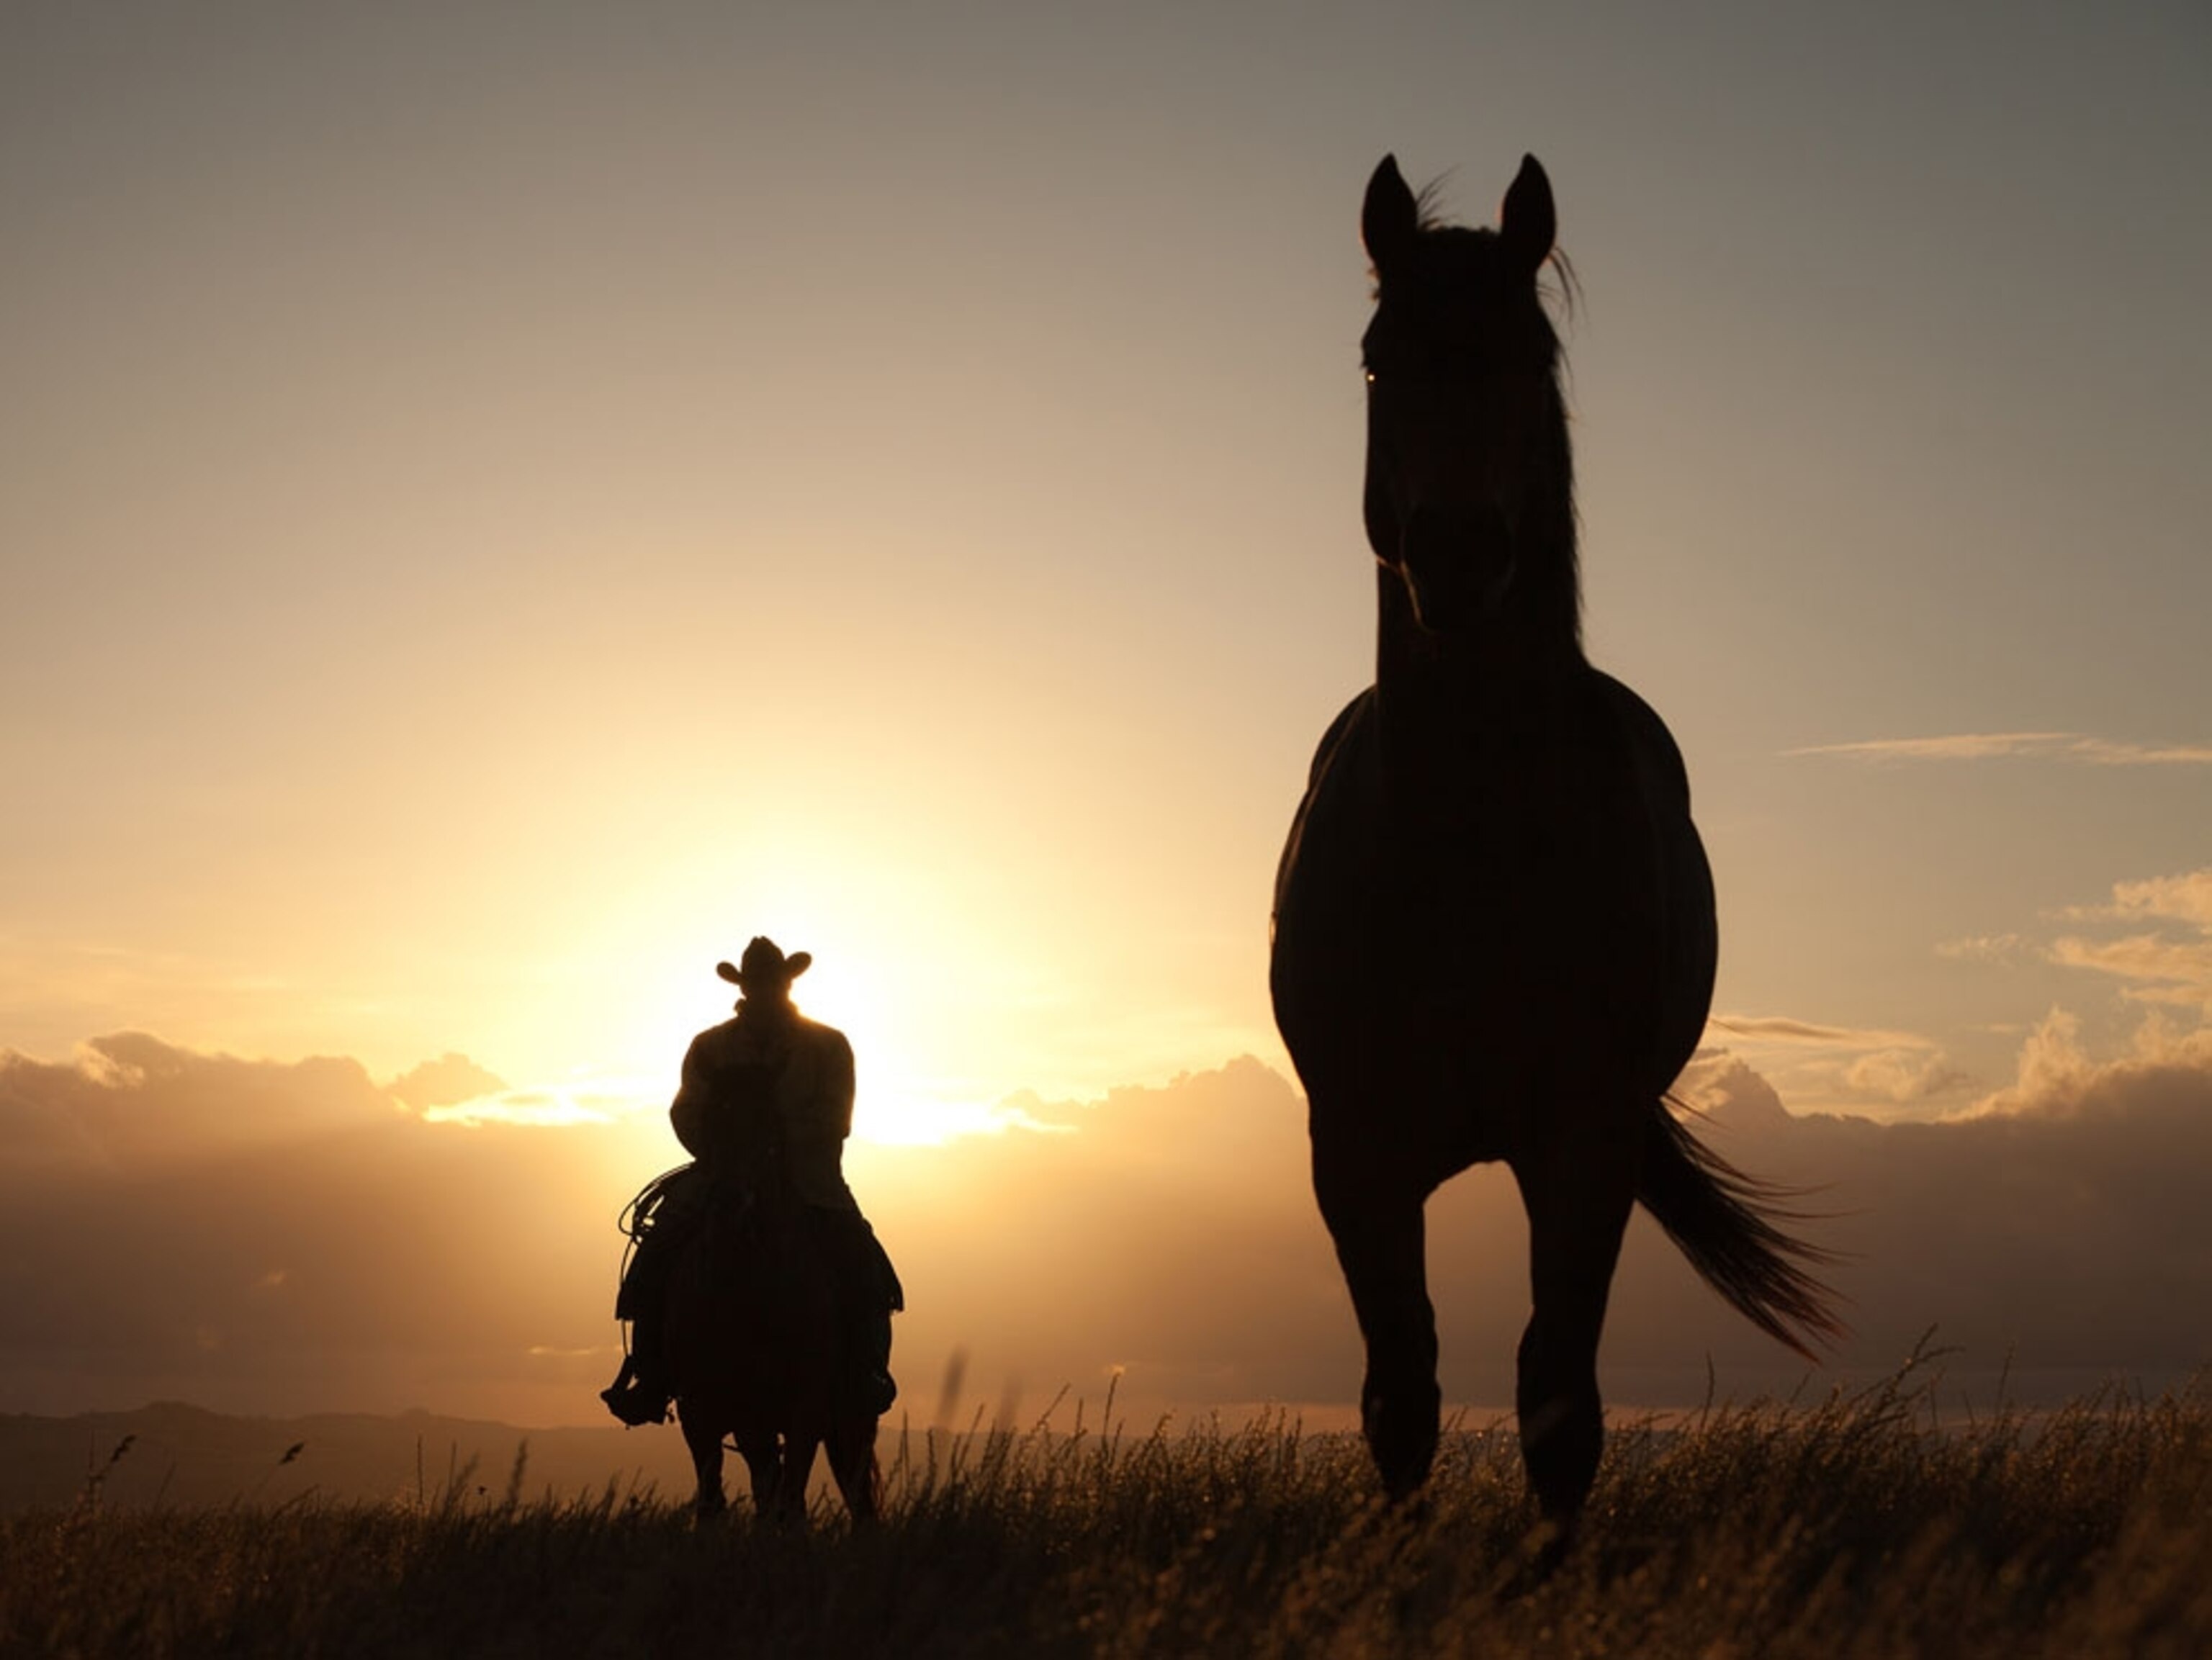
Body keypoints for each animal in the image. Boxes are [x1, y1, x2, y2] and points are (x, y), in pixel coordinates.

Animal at [660, 1093, 882, 1524]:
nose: (730, 1204)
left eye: (768, 1140)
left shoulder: (806, 1406)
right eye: (711, 1125)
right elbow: (717, 1494)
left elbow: (792, 1497)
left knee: (856, 1489)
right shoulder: (705, 1406)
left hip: (851, 1415)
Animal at [1270, 153, 1843, 1546]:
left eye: (1531, 357)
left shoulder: (1584, 1144)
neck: (1473, 852)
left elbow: (1557, 1405)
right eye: (1379, 361)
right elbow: (1402, 1396)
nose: (1458, 554)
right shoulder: (1355, 1152)